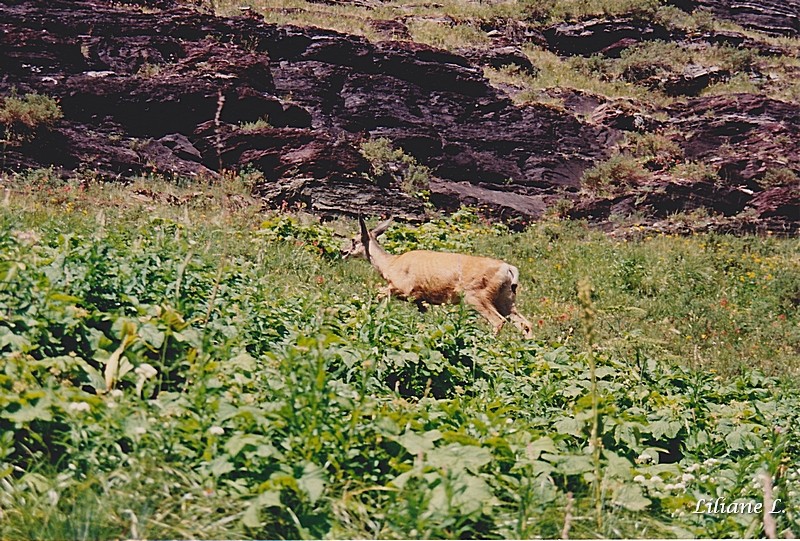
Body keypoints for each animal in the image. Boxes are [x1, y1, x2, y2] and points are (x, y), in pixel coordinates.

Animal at [340, 216, 536, 338]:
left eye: (354, 240)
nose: (343, 252)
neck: (390, 264)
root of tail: (508, 268)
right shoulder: (420, 299)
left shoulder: (404, 288)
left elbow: (378, 293)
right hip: (506, 299)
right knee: (525, 324)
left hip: (477, 296)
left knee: (498, 321)